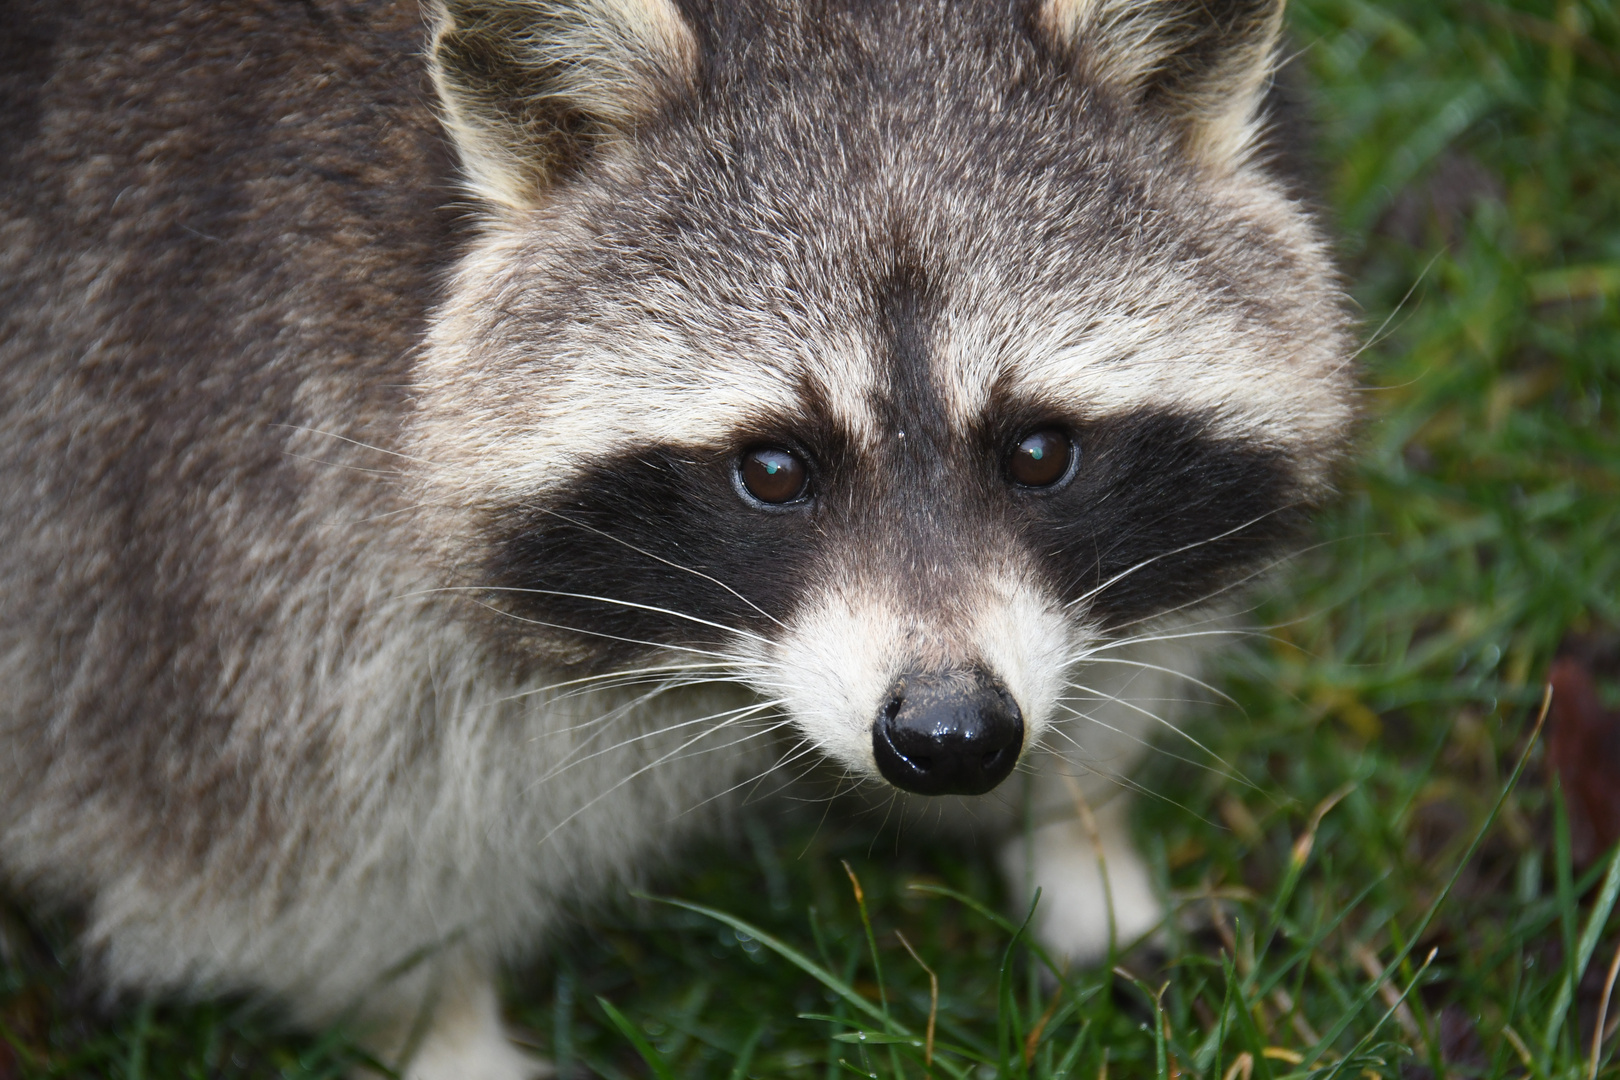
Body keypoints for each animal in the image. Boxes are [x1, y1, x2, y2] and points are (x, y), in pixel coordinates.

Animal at [0, 0, 1354, 1075]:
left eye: (1038, 452)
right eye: (774, 469)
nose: (951, 738)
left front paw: (1076, 827)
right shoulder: (229, 498)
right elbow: (317, 851)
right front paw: (439, 1028)